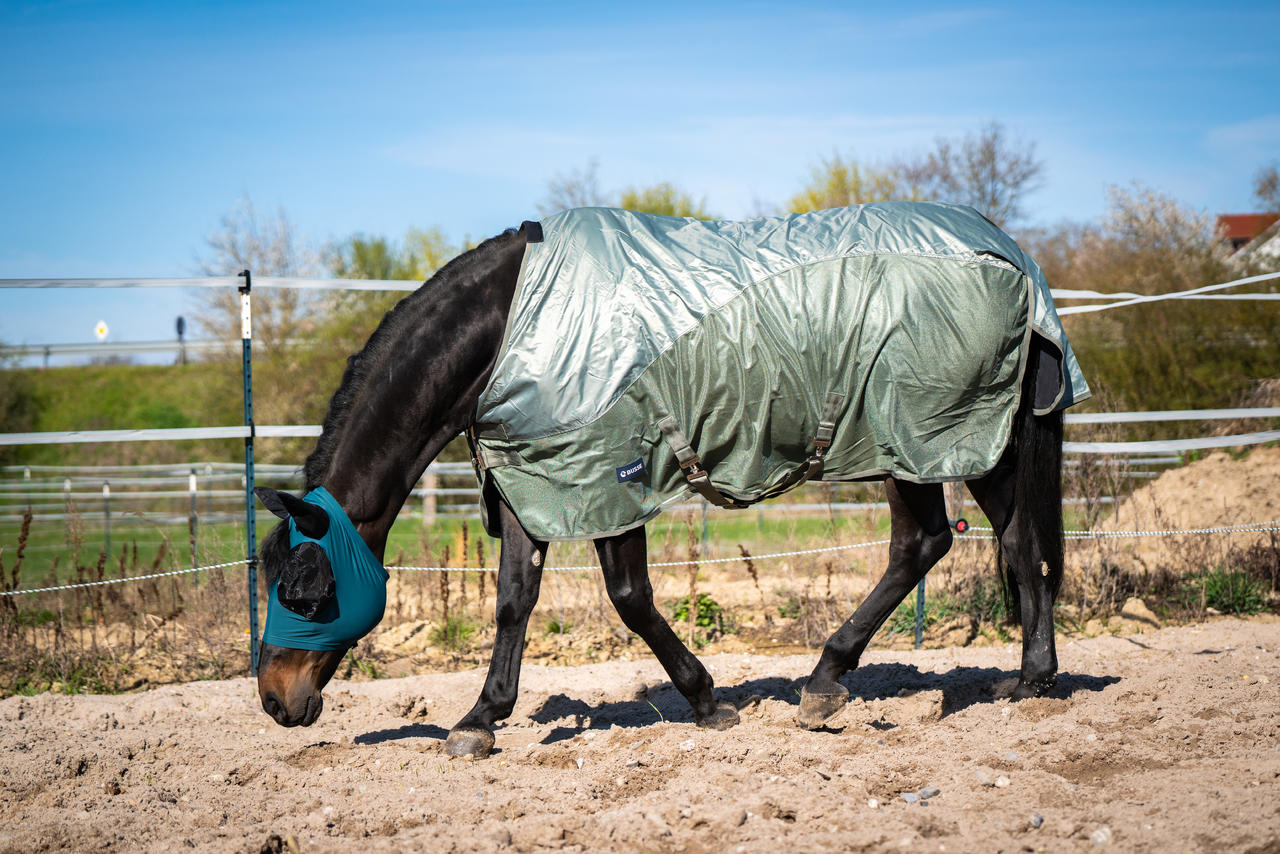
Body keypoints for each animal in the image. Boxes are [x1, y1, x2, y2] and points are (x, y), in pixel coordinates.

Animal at [252, 202, 1090, 763]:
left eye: (304, 592)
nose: (274, 701)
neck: (509, 327)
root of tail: (1014, 260)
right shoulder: (533, 479)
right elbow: (514, 601)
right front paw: (480, 720)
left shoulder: (609, 474)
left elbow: (630, 598)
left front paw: (707, 701)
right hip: (967, 444)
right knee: (1018, 544)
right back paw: (1028, 682)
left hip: (917, 440)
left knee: (925, 545)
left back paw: (826, 683)